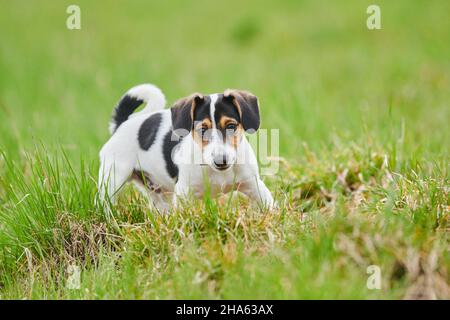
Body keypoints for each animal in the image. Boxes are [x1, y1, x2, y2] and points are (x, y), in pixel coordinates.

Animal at [98, 84, 274, 212]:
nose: (221, 161)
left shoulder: (254, 186)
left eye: (231, 126)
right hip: (112, 180)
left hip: (160, 195)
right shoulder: (184, 193)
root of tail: (122, 124)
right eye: (202, 129)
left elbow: (270, 207)